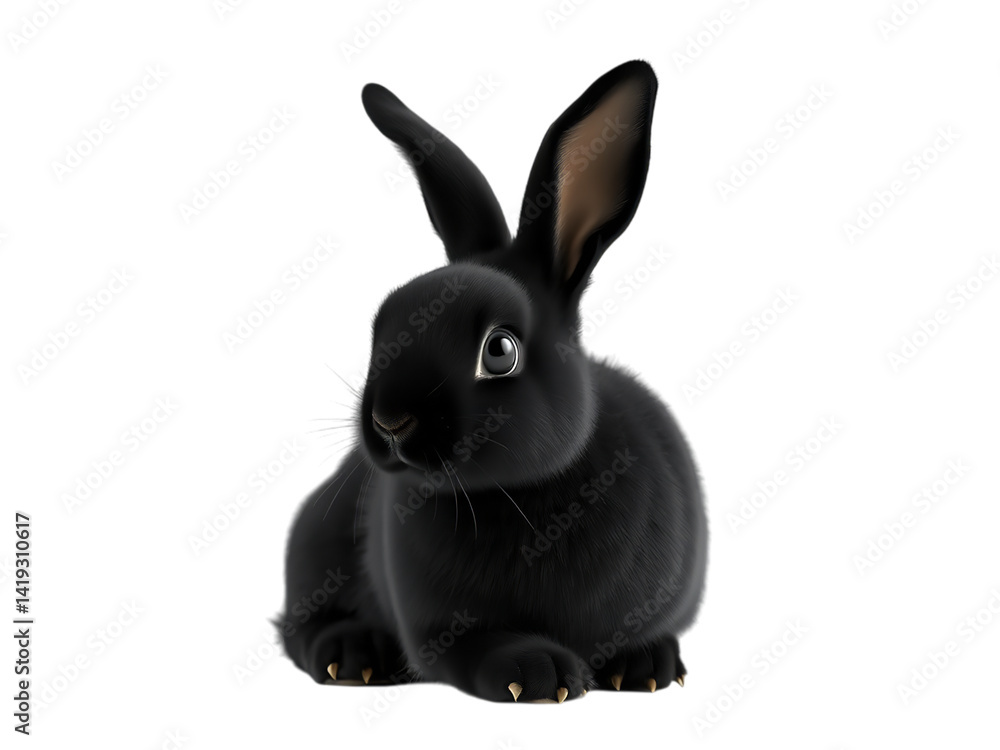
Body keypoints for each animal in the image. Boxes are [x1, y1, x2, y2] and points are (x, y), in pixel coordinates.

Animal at [279, 60, 707, 703]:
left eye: (500, 351)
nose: (389, 421)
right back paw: (351, 657)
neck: (515, 497)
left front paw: (647, 668)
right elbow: (474, 650)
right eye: (382, 327)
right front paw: (539, 673)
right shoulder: (440, 632)